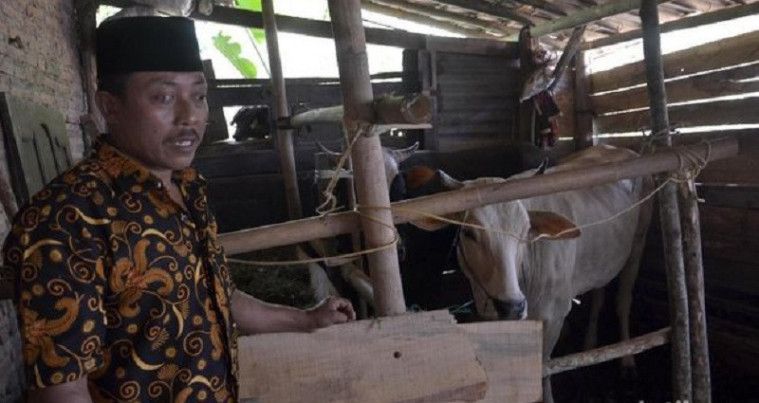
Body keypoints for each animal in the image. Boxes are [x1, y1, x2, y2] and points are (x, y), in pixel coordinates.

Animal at [412, 146, 656, 403]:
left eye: (526, 230)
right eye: (468, 233)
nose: (512, 306)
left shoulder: (555, 315)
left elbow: (543, 368)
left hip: (638, 243)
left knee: (623, 301)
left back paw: (627, 361)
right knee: (599, 294)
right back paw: (590, 344)